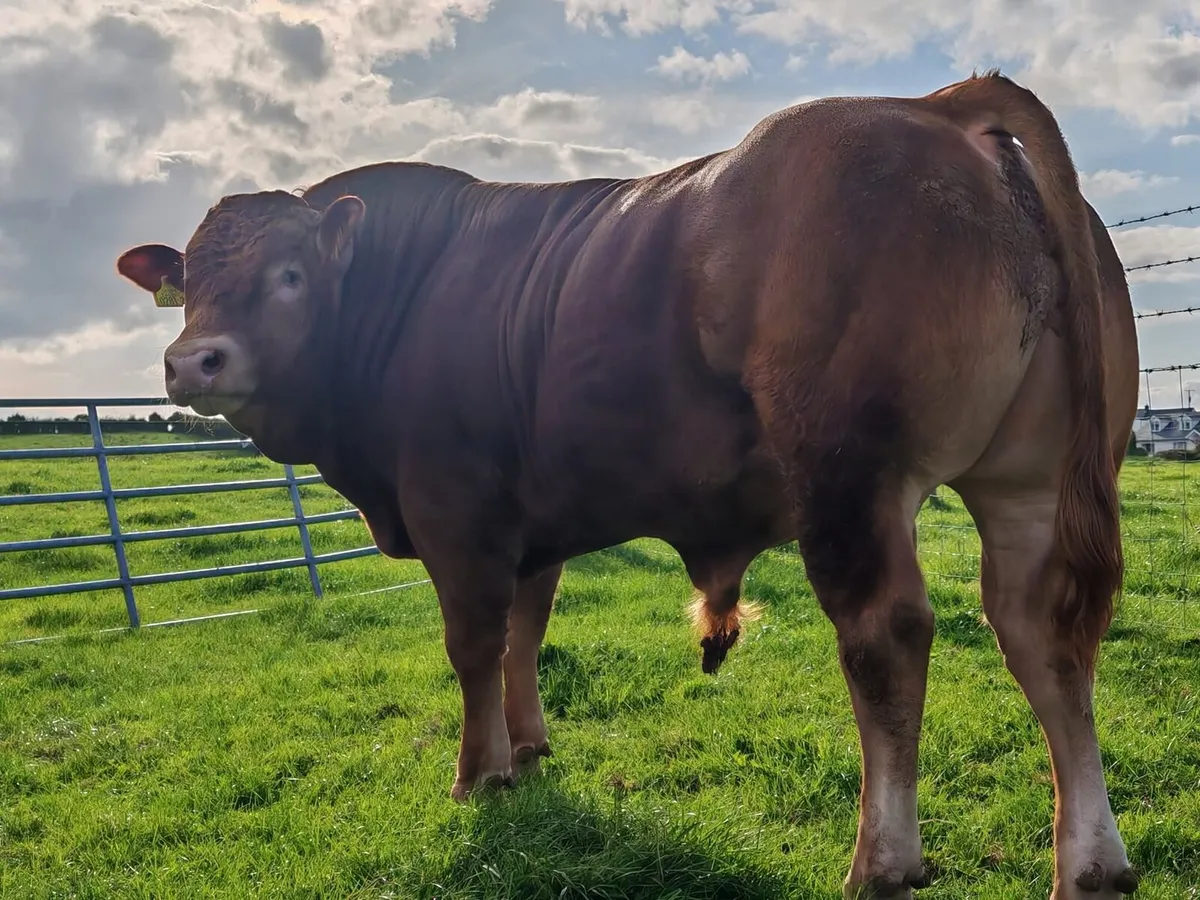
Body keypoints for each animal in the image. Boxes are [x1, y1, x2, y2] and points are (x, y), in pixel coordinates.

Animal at [115, 71, 1139, 899]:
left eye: (290, 275)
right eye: (188, 282)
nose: (193, 360)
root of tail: (936, 106)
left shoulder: (457, 516)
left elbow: (472, 644)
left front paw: (478, 774)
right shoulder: (531, 529)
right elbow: (525, 635)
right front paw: (528, 750)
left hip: (851, 477)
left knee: (886, 634)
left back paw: (882, 860)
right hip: (1027, 484)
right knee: (1045, 635)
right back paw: (1091, 863)